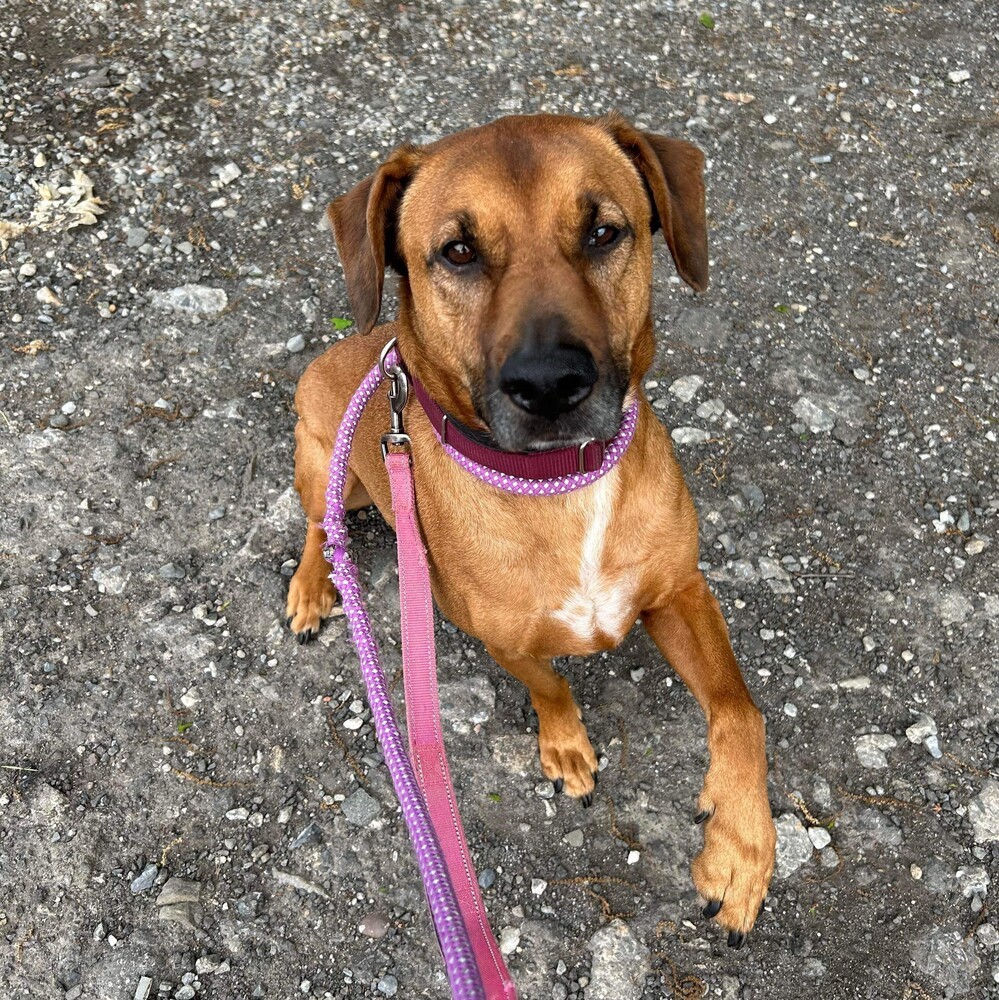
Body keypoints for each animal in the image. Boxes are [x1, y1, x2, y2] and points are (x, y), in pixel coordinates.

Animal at [286, 113, 776, 940]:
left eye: (604, 232)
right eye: (457, 251)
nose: (549, 384)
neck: (558, 486)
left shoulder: (680, 592)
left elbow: (741, 710)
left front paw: (740, 847)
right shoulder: (503, 640)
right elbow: (549, 686)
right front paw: (566, 746)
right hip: (330, 472)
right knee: (321, 533)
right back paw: (312, 589)